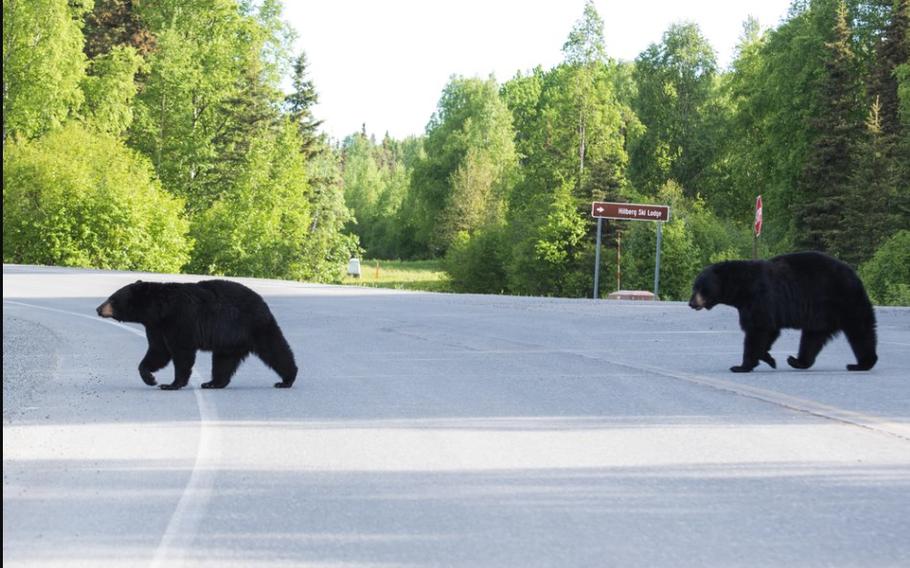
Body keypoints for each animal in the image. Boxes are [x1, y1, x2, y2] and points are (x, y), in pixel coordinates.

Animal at [99, 280, 300, 390]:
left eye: (112, 299)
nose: (98, 309)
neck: (160, 310)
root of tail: (263, 302)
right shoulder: (156, 327)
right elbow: (158, 351)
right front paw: (150, 378)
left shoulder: (180, 319)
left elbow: (181, 352)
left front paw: (171, 384)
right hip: (229, 342)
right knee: (223, 362)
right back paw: (213, 383)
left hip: (255, 326)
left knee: (275, 350)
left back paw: (287, 379)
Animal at [692, 252, 876, 372]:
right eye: (694, 287)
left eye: (700, 288)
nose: (691, 303)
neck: (741, 287)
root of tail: (855, 276)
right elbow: (769, 331)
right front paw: (768, 358)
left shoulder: (759, 298)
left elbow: (758, 330)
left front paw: (741, 366)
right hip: (822, 315)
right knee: (812, 338)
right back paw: (798, 361)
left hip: (845, 302)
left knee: (860, 331)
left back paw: (862, 364)